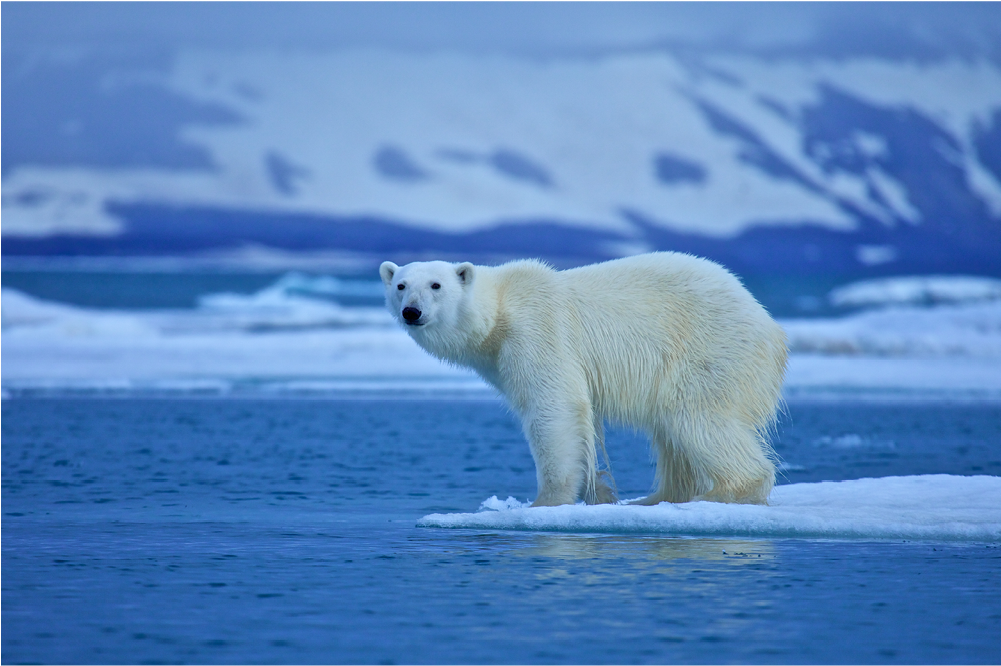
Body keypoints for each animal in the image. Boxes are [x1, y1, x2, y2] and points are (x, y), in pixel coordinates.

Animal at [379, 252, 787, 507]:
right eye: (401, 285)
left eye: (436, 285)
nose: (412, 311)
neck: (498, 313)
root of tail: (772, 327)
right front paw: (601, 491)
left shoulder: (537, 332)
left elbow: (554, 406)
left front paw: (545, 501)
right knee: (672, 434)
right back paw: (655, 498)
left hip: (709, 349)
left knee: (697, 418)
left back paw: (724, 492)